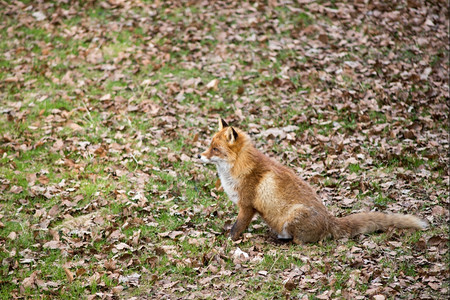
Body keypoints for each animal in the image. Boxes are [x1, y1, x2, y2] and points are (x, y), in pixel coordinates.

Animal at [200, 118, 428, 244]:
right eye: (209, 146)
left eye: (215, 149)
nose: (199, 156)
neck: (239, 168)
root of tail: (330, 221)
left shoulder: (247, 206)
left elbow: (236, 228)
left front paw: (227, 241)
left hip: (292, 217)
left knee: (300, 242)